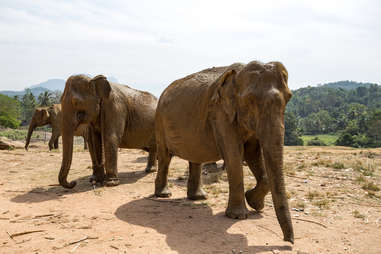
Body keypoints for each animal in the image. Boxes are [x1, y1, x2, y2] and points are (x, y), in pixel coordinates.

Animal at [154, 60, 294, 243]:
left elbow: (253, 152)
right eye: (250, 100)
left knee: (195, 157)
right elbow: (234, 153)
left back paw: (199, 198)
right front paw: (238, 216)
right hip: (159, 122)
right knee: (165, 157)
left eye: (289, 98)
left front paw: (255, 203)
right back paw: (163, 195)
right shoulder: (220, 113)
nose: (288, 241)